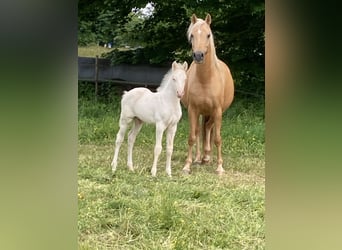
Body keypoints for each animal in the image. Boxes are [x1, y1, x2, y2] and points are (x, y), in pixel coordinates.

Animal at [182, 13, 235, 174]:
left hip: (213, 112)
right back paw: (200, 157)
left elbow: (217, 138)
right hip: (201, 112)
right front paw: (187, 165)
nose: (198, 56)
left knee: (208, 128)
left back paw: (207, 156)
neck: (206, 79)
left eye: (208, 35)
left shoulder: (217, 111)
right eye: (192, 35)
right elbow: (192, 137)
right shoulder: (193, 110)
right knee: (200, 131)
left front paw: (219, 167)